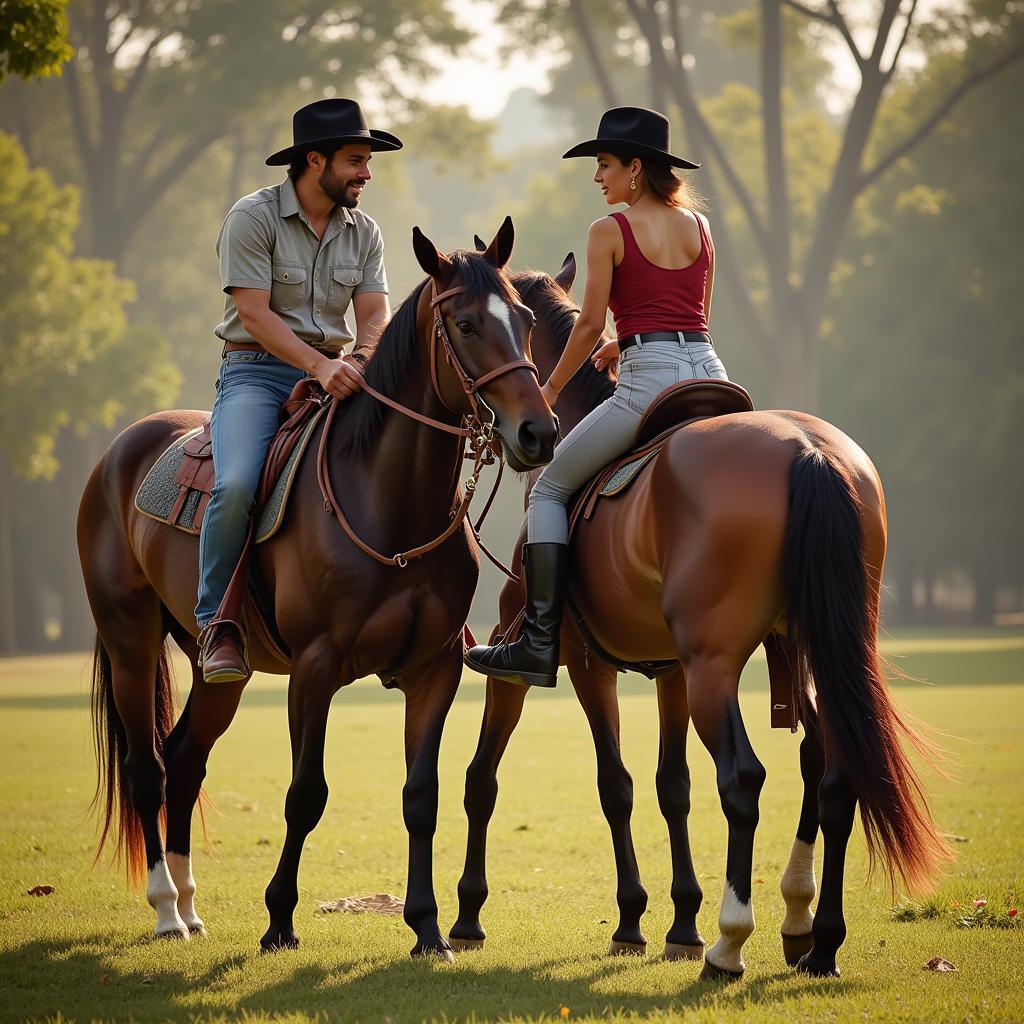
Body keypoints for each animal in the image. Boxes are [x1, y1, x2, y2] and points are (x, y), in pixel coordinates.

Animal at [77, 220, 561, 954]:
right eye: (467, 324)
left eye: (528, 321)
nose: (538, 432)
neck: (388, 503)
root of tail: (117, 453)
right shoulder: (316, 667)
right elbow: (305, 794)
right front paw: (279, 920)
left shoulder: (435, 670)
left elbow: (421, 797)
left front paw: (428, 928)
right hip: (130, 640)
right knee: (148, 769)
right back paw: (166, 912)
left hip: (220, 665)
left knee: (186, 758)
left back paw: (190, 904)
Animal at [452, 256, 946, 974]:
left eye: (510, 328)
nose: (526, 435)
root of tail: (808, 450)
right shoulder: (671, 672)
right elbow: (671, 784)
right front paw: (676, 920)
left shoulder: (569, 661)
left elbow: (583, 782)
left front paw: (620, 919)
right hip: (817, 648)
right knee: (831, 768)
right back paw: (815, 934)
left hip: (716, 667)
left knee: (742, 777)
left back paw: (731, 940)